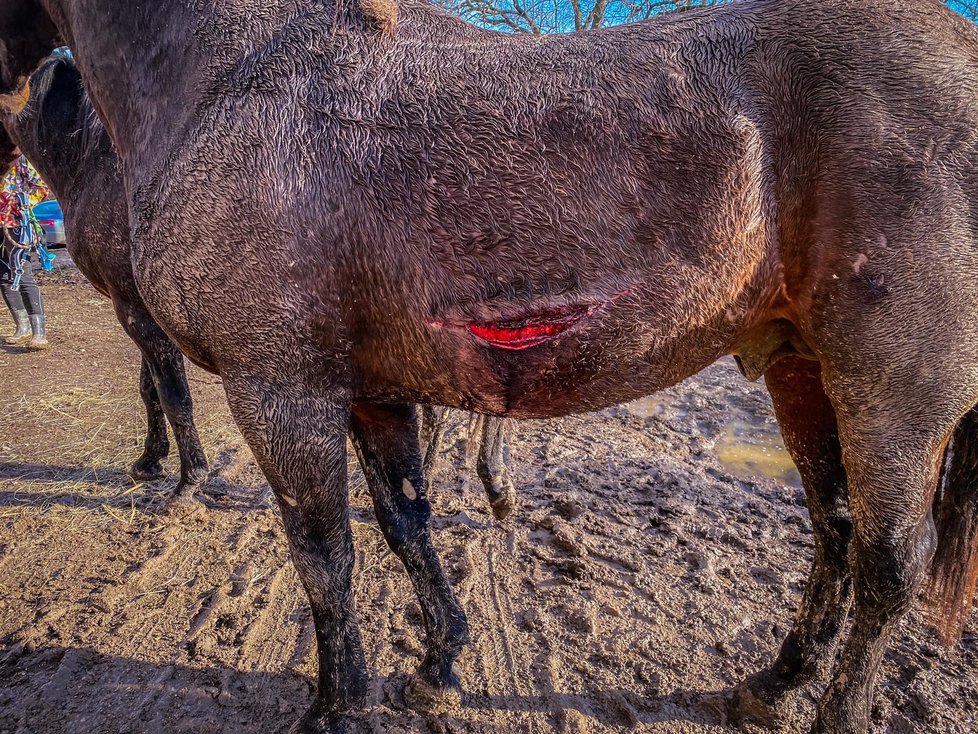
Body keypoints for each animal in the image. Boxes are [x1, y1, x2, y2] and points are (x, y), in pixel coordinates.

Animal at [1, 1, 976, 734]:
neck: (229, 77)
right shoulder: (372, 395)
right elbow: (404, 525)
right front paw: (437, 665)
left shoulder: (278, 391)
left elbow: (323, 556)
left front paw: (335, 706)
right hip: (802, 374)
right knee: (835, 532)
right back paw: (770, 686)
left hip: (893, 398)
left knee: (889, 566)